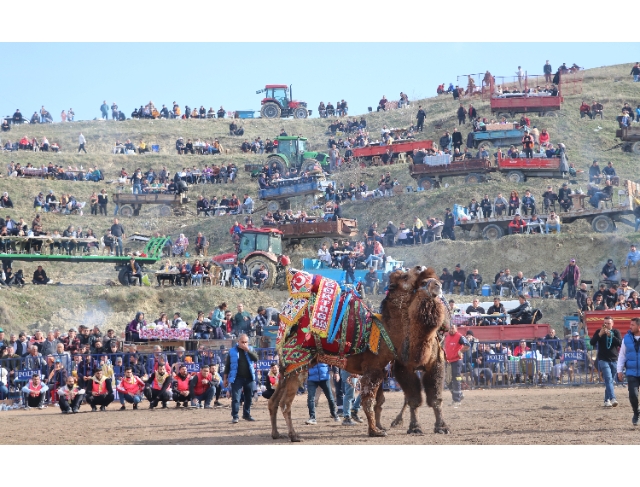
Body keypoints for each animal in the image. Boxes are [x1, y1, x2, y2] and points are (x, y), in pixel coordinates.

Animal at [268, 266, 448, 442]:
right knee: (285, 403)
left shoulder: (381, 370)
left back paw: (276, 433)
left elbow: (375, 401)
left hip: (287, 369)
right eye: (405, 276)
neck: (388, 330)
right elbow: (368, 400)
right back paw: (294, 435)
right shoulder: (373, 368)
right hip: (298, 365)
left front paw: (378, 428)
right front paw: (375, 431)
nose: (419, 267)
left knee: (273, 401)